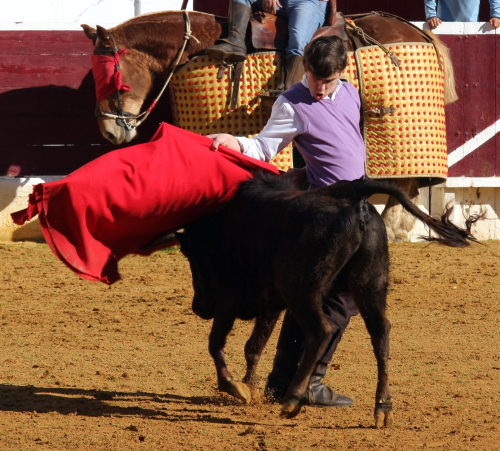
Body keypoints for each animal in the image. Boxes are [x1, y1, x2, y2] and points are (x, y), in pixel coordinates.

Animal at [81, 8, 458, 242]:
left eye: (111, 77)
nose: (109, 131)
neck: (202, 44)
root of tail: (418, 31)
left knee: (404, 180)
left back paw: (394, 227)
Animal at [174, 175, 474, 430]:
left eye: (188, 252)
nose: (199, 307)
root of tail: (352, 194)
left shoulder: (230, 297)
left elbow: (217, 343)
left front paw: (235, 387)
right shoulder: (271, 304)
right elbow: (254, 347)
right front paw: (252, 388)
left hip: (301, 289)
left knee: (321, 331)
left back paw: (293, 399)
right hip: (370, 283)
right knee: (380, 333)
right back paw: (383, 408)